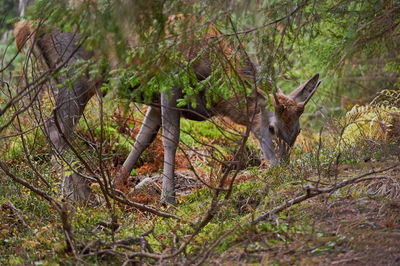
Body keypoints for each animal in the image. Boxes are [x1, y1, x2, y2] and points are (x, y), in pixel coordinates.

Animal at [14, 19, 320, 204]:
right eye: (271, 127)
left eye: (297, 131)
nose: (281, 170)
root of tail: (25, 27)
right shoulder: (169, 81)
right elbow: (170, 138)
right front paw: (167, 199)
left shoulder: (153, 100)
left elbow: (143, 137)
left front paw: (116, 185)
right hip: (76, 70)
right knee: (55, 129)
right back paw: (74, 193)